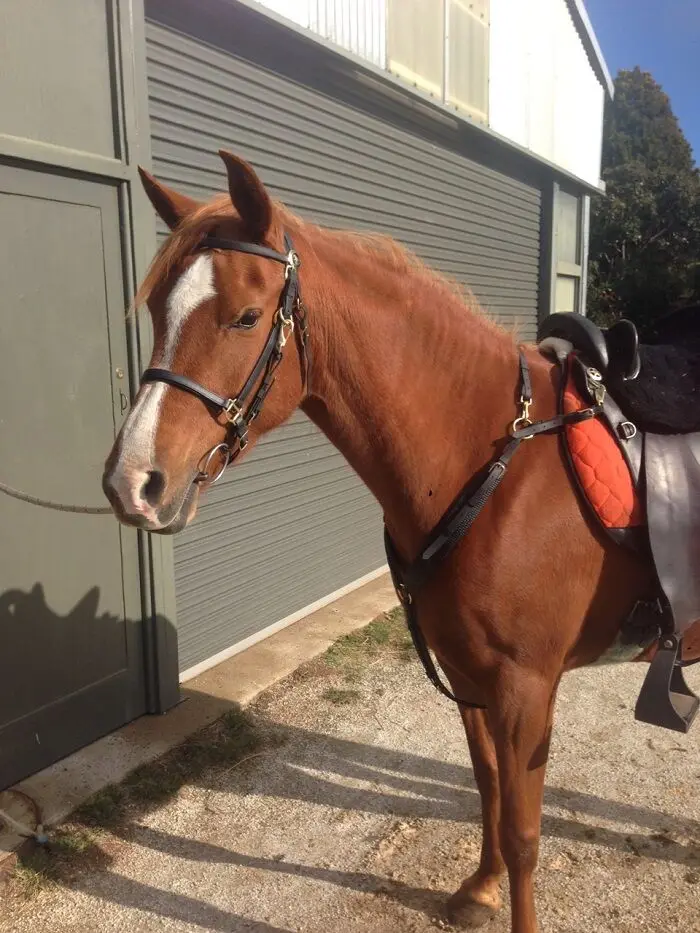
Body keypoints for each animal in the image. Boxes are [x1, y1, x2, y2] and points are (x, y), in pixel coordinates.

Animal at [102, 150, 700, 933]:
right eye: (156, 311)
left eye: (246, 316)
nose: (132, 482)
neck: (497, 463)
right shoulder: (470, 675)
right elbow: (486, 786)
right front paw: (479, 887)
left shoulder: (526, 687)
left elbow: (524, 831)